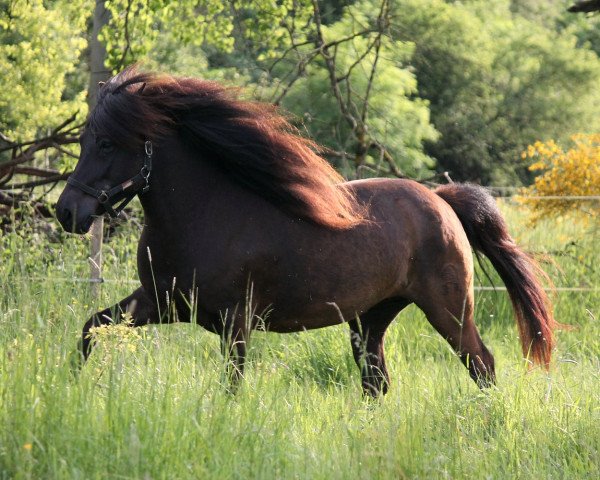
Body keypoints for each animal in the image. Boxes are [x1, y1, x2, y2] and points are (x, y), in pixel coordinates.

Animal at [55, 68, 552, 398]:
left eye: (106, 143)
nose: (66, 213)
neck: (206, 215)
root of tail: (441, 201)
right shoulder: (160, 301)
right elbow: (91, 328)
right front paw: (71, 390)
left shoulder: (236, 322)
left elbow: (231, 385)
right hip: (370, 319)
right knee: (376, 382)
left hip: (448, 310)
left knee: (481, 364)